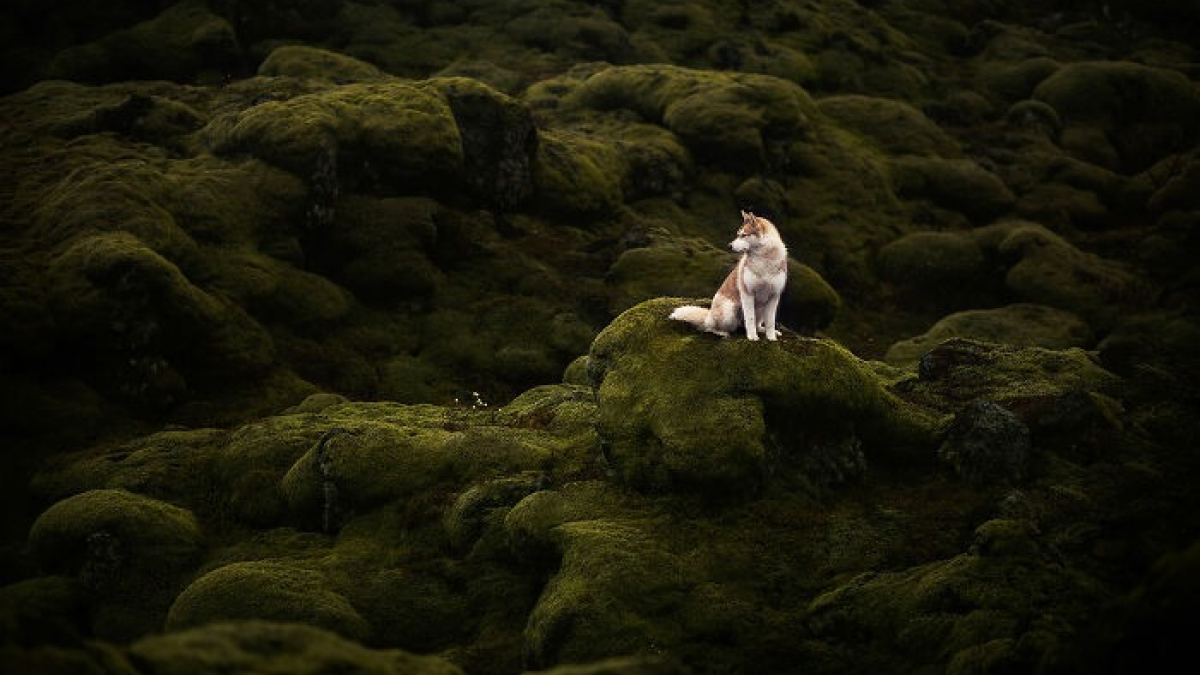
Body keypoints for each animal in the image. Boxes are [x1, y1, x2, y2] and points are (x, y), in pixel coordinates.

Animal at [667, 207, 787, 338]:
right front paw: (752, 337)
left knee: (756, 324)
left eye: (743, 235)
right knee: (709, 327)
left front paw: (771, 337)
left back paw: (762, 330)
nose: (729, 246)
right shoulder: (747, 293)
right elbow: (750, 319)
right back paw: (722, 332)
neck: (765, 261)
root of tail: (709, 315)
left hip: (759, 309)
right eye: (738, 235)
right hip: (730, 312)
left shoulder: (774, 296)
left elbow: (770, 322)